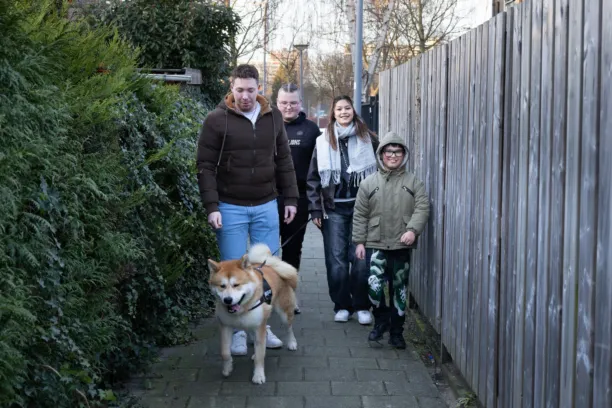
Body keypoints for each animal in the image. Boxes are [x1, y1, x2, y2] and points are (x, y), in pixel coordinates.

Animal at [208, 244, 298, 384]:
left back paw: (292, 343)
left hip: (283, 313)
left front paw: (258, 376)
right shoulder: (225, 326)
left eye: (236, 285)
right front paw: (227, 369)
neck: (241, 310)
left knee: (288, 328)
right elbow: (225, 352)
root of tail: (271, 265)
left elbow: (260, 355)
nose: (227, 300)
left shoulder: (259, 326)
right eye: (222, 286)